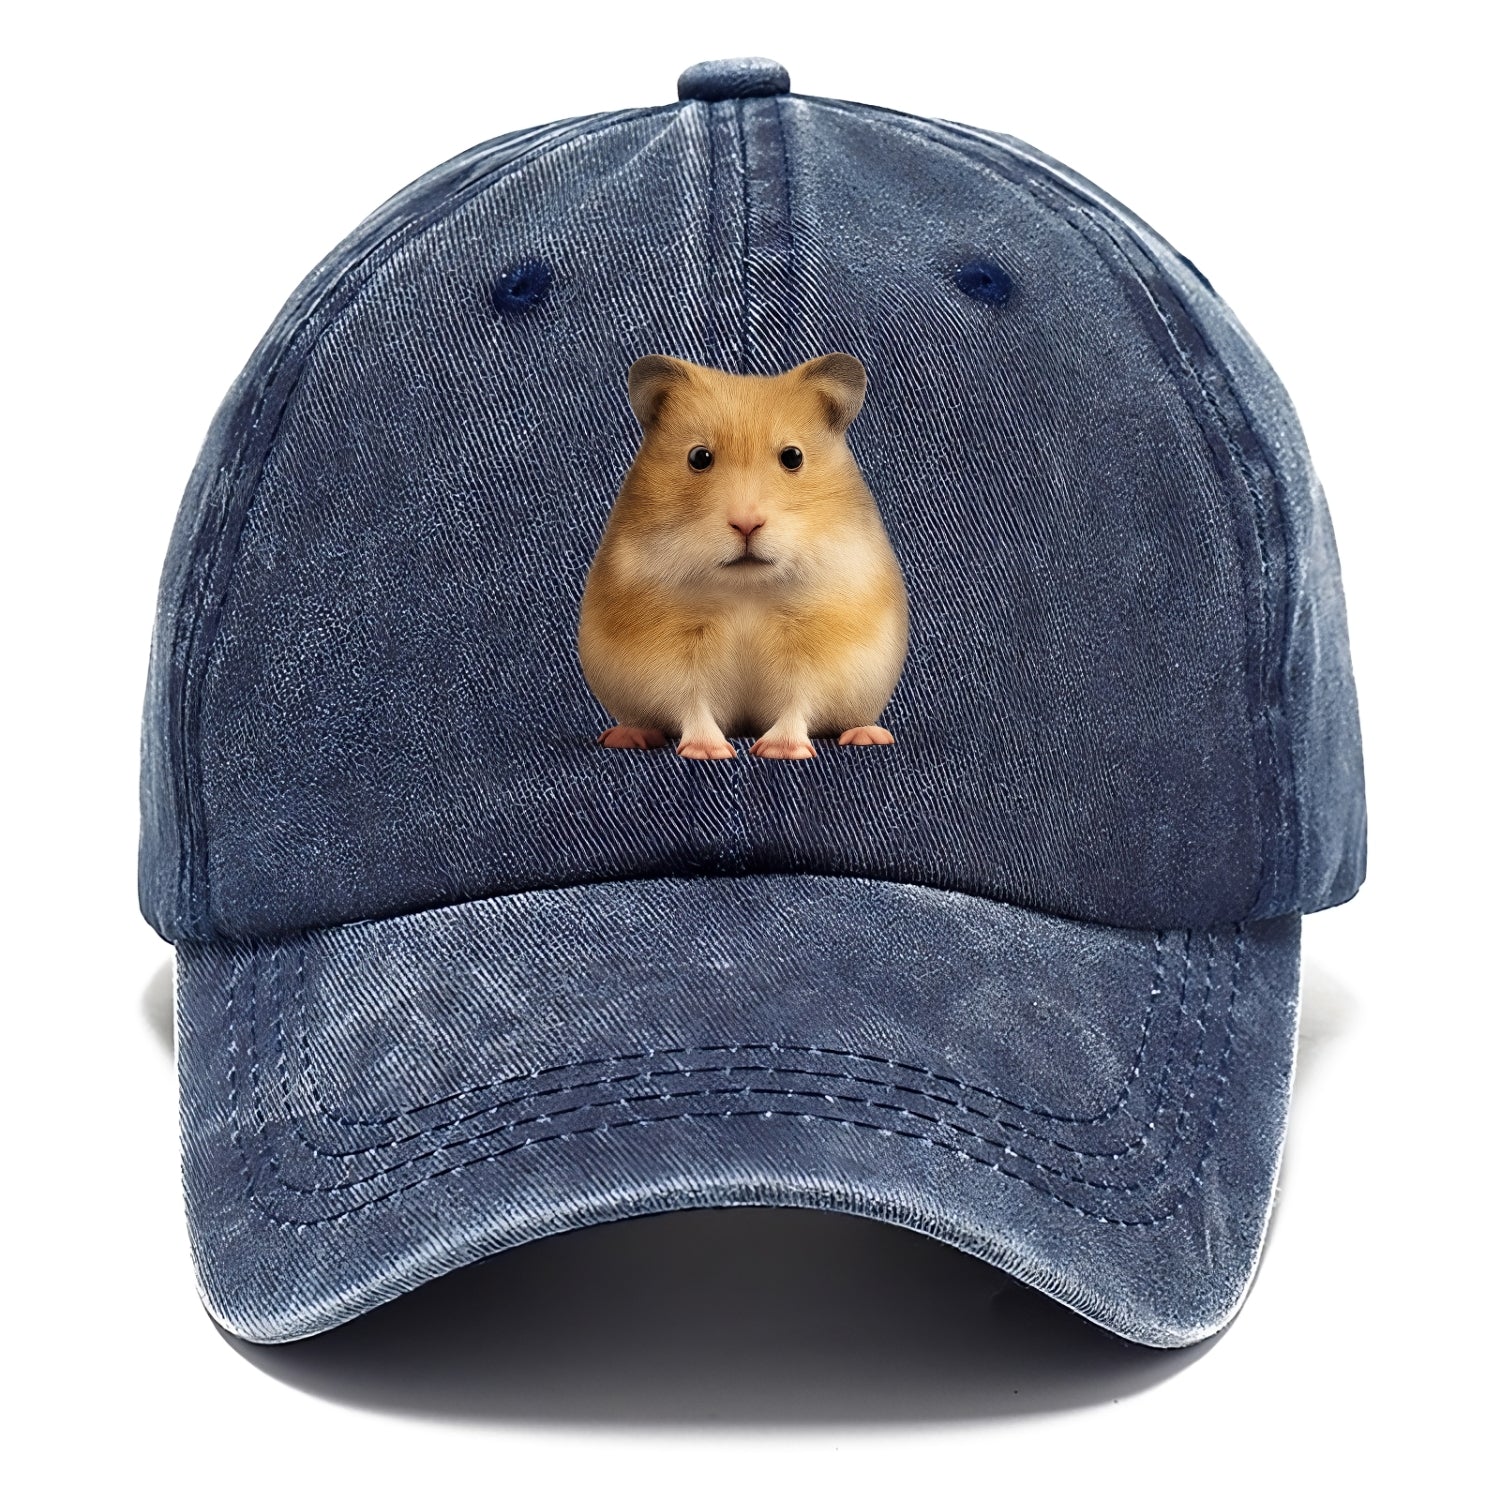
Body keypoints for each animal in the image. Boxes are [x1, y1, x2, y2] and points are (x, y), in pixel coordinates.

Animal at [578, 353, 908, 760]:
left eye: (792, 457)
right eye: (699, 457)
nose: (746, 524)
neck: (745, 589)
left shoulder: (816, 650)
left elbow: (798, 700)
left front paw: (780, 750)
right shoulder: (671, 656)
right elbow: (691, 701)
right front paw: (708, 751)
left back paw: (869, 735)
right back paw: (626, 736)